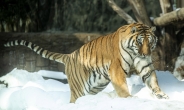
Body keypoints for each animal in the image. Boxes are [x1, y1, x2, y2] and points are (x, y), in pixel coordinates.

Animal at [4, 22, 168, 102]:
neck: (135, 53)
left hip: (95, 86)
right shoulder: (117, 69)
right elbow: (122, 87)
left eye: (150, 42)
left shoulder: (145, 64)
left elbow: (152, 80)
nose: (146, 53)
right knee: (73, 100)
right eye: (140, 42)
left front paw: (161, 95)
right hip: (78, 88)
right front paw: (129, 99)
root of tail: (70, 55)